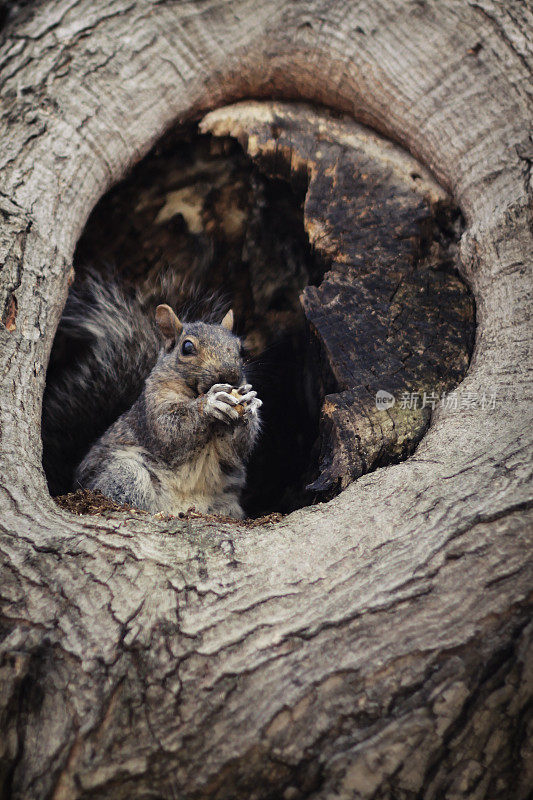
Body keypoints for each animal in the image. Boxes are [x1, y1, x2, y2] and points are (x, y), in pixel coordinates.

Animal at [43, 270, 262, 520]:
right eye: (187, 348)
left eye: (240, 348)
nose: (230, 376)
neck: (193, 393)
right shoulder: (151, 407)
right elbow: (170, 431)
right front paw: (209, 404)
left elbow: (234, 450)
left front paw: (250, 405)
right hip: (125, 474)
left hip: (225, 503)